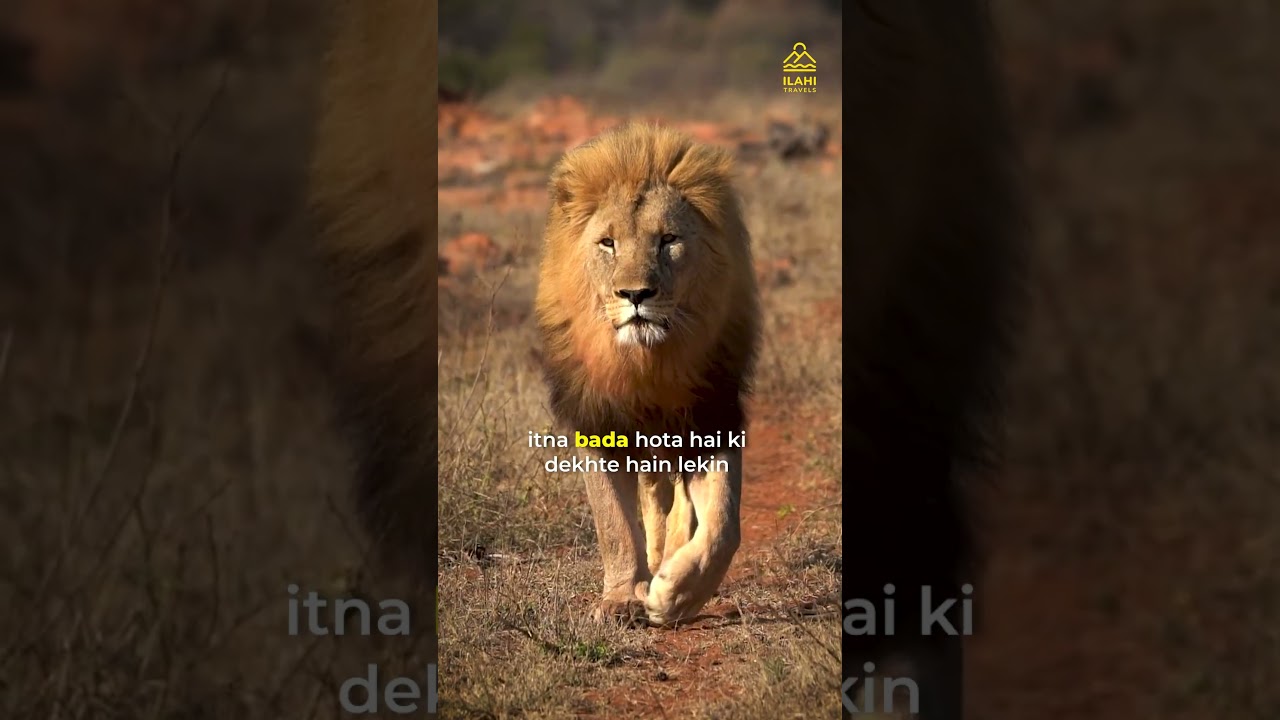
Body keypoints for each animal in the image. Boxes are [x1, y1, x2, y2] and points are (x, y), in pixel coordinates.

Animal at [535, 122, 761, 626]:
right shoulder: (597, 421)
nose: (635, 294)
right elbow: (614, 524)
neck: (646, 363)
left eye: (668, 240)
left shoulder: (711, 415)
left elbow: (724, 525)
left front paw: (675, 595)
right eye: (608, 243)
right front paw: (621, 598)